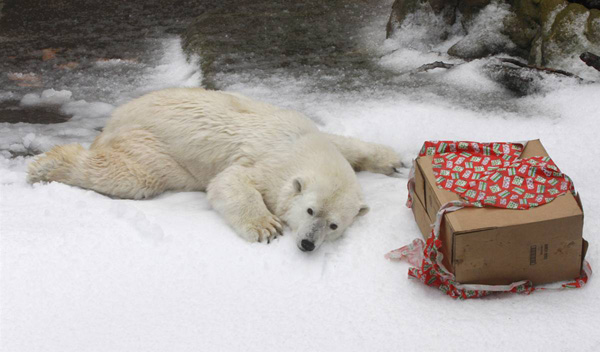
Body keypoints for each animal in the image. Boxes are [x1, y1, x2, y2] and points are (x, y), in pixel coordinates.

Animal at [29, 89, 404, 252]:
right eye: (310, 209)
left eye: (334, 224)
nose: (308, 244)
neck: (301, 146)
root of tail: (113, 120)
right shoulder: (271, 165)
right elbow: (230, 181)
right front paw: (266, 227)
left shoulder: (320, 139)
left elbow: (348, 146)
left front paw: (394, 161)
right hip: (150, 143)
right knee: (133, 177)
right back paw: (44, 165)